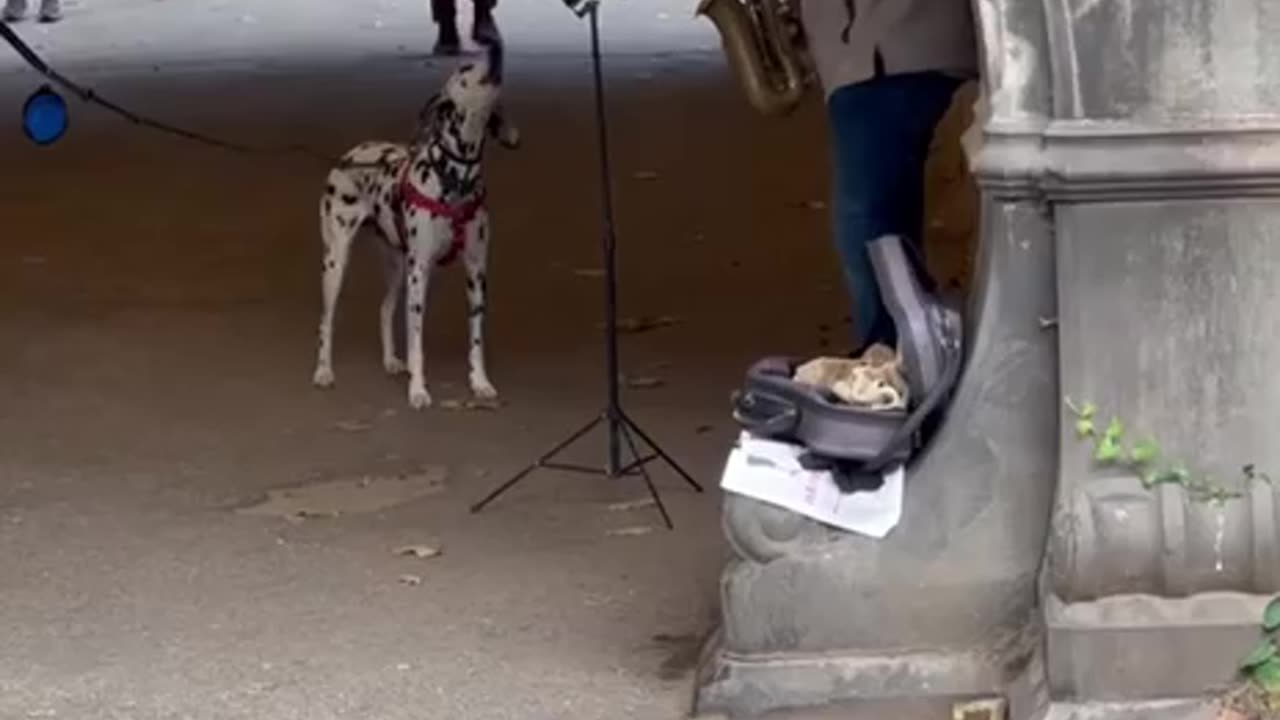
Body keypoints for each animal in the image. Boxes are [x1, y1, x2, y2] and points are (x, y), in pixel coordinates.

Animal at [312, 37, 517, 409]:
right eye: (465, 69)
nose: (494, 48)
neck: (457, 179)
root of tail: (350, 155)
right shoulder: (420, 271)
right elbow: (417, 341)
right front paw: (418, 390)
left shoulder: (475, 272)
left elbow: (476, 341)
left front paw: (479, 383)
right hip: (337, 263)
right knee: (325, 321)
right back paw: (323, 371)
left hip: (398, 267)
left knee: (384, 309)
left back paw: (391, 361)